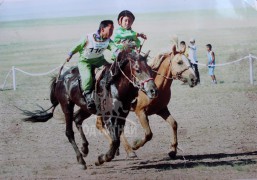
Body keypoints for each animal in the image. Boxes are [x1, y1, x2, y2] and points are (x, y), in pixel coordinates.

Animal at [21, 49, 158, 170]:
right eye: (138, 70)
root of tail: (60, 78)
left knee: (77, 119)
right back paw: (81, 160)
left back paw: (85, 149)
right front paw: (102, 158)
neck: (115, 86)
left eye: (150, 69)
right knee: (69, 132)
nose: (153, 90)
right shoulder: (108, 117)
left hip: (86, 108)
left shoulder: (121, 116)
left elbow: (117, 138)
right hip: (67, 106)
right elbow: (115, 141)